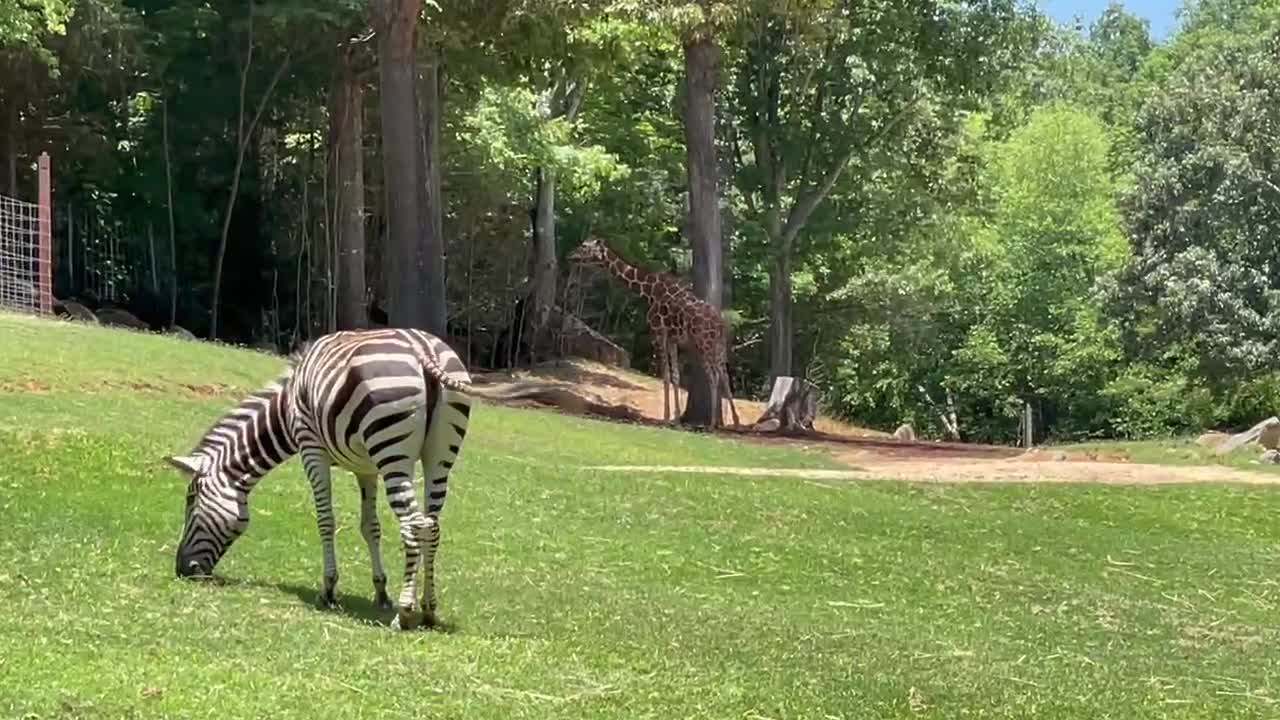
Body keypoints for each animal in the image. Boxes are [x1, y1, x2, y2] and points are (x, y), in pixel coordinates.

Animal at [165, 325, 514, 627]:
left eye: (191, 502)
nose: (182, 570)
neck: (286, 409)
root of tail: (423, 349)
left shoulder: (311, 448)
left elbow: (325, 519)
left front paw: (329, 588)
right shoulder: (366, 467)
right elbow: (370, 527)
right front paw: (380, 591)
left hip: (392, 451)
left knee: (413, 526)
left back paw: (405, 613)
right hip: (439, 456)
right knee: (432, 525)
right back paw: (427, 609)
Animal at [568, 237, 742, 425]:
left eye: (585, 247)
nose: (570, 256)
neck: (649, 291)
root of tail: (719, 323)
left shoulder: (658, 331)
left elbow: (665, 375)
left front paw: (665, 418)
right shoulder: (672, 338)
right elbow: (675, 376)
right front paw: (676, 418)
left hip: (704, 343)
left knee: (714, 375)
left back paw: (713, 422)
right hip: (718, 345)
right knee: (724, 374)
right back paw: (733, 421)